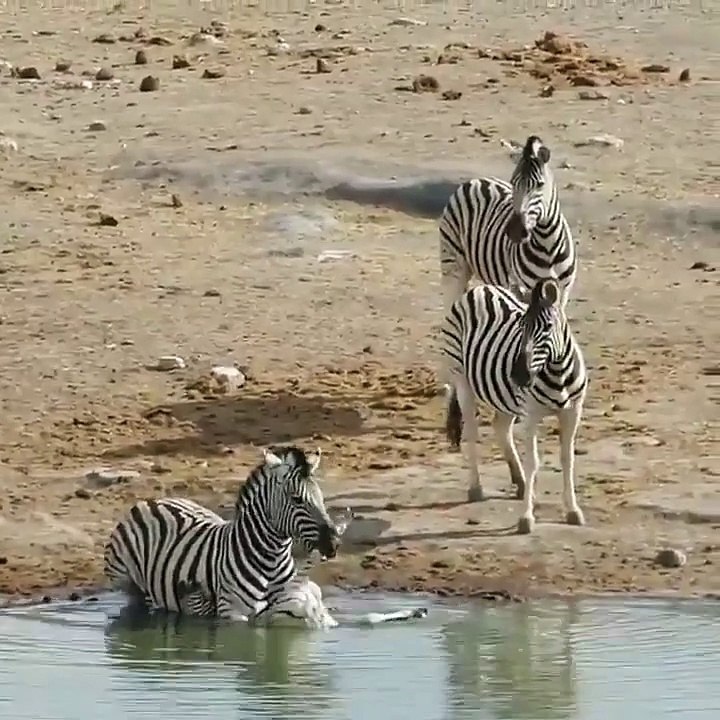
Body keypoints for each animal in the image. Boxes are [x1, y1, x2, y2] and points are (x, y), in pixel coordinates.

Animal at [104, 445, 342, 624]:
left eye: (321, 497)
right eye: (296, 499)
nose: (334, 542)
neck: (270, 561)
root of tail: (153, 500)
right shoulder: (232, 612)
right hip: (124, 580)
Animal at [439, 135, 576, 315]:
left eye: (540, 184)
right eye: (513, 182)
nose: (516, 232)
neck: (548, 245)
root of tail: (475, 181)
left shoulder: (563, 292)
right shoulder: (524, 291)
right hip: (452, 263)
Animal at [440, 276, 588, 534]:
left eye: (548, 327)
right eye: (521, 327)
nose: (518, 375)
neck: (557, 373)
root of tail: (481, 288)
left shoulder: (572, 412)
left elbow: (567, 460)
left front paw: (572, 510)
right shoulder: (531, 414)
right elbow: (533, 462)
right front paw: (526, 517)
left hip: (504, 396)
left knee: (500, 426)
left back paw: (520, 483)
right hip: (461, 378)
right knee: (472, 432)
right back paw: (476, 488)